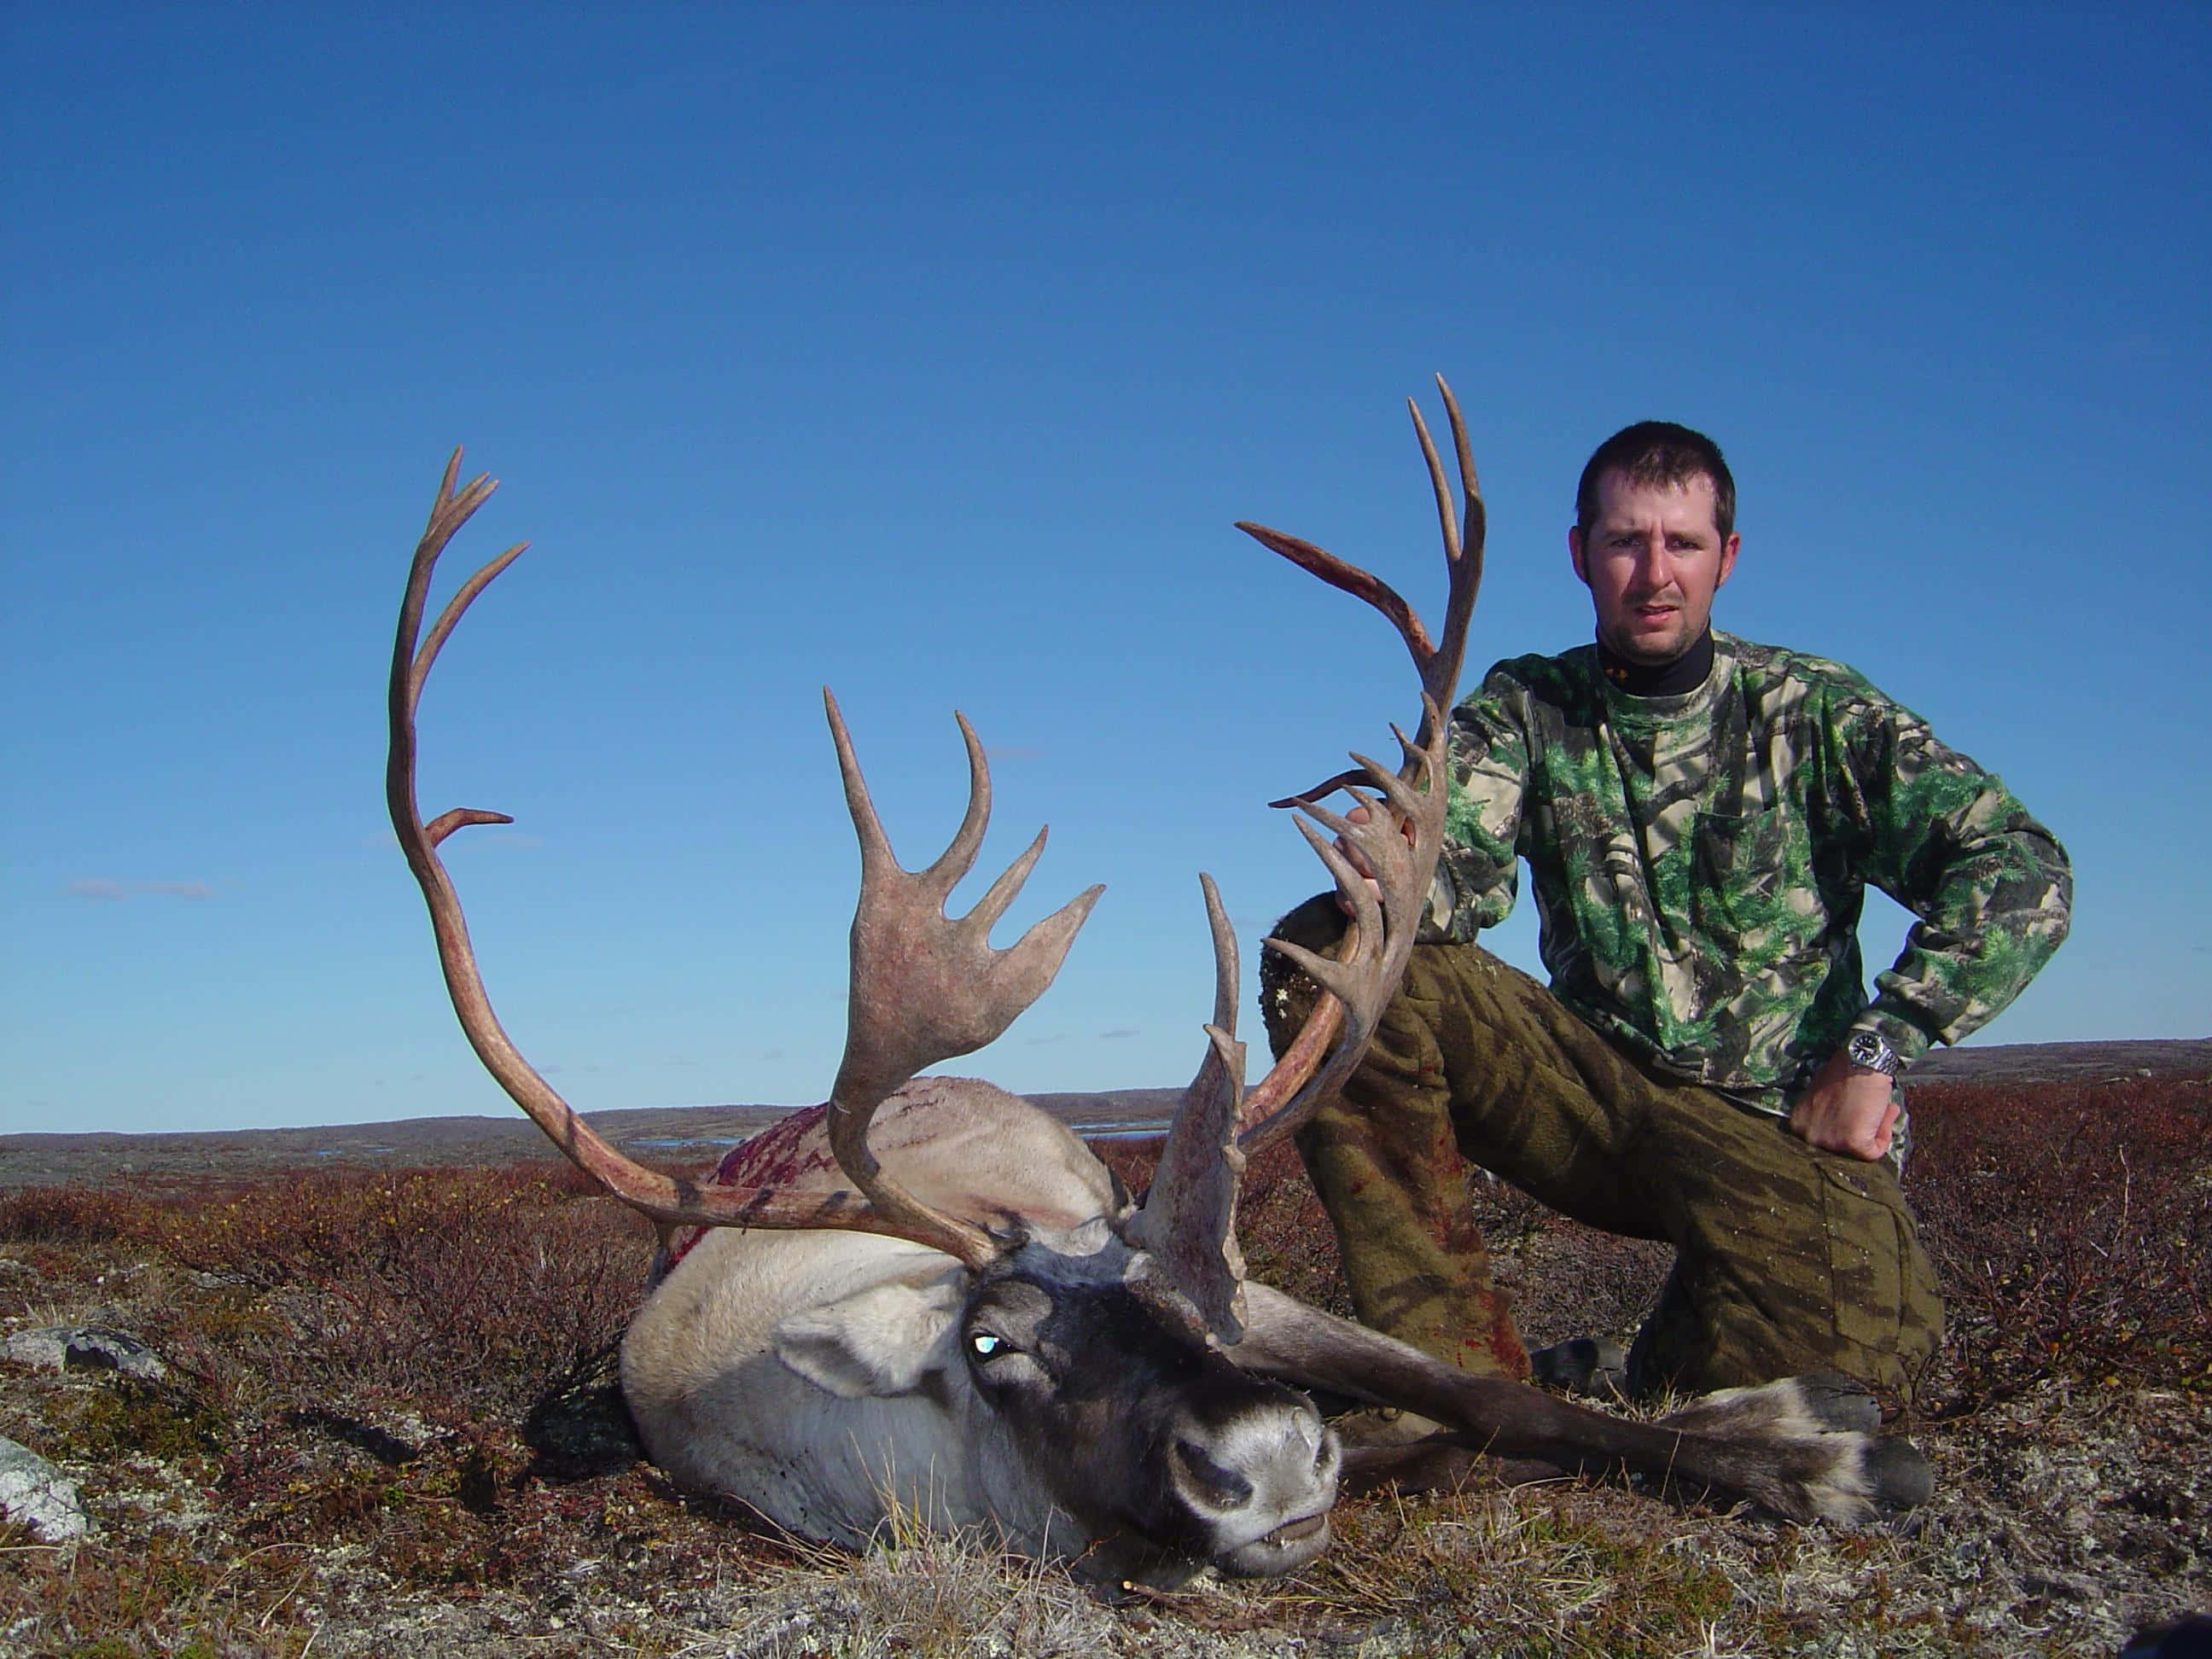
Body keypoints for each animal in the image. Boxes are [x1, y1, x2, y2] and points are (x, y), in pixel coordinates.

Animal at [386, 382, 1932, 1590]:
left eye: (1187, 1300)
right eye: (993, 1339)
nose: (1268, 1458)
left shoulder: (1262, 1298)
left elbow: (1482, 1392)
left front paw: (1824, 1447)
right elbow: (1433, 1439)